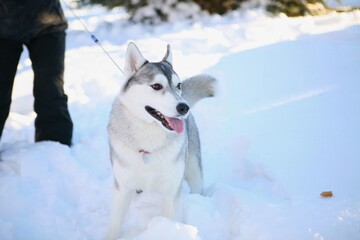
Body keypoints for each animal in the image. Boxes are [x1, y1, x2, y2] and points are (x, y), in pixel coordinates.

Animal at [107, 42, 217, 239]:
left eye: (178, 85)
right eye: (156, 86)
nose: (184, 107)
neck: (148, 146)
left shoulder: (172, 191)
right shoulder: (122, 188)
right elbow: (114, 223)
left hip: (193, 169)